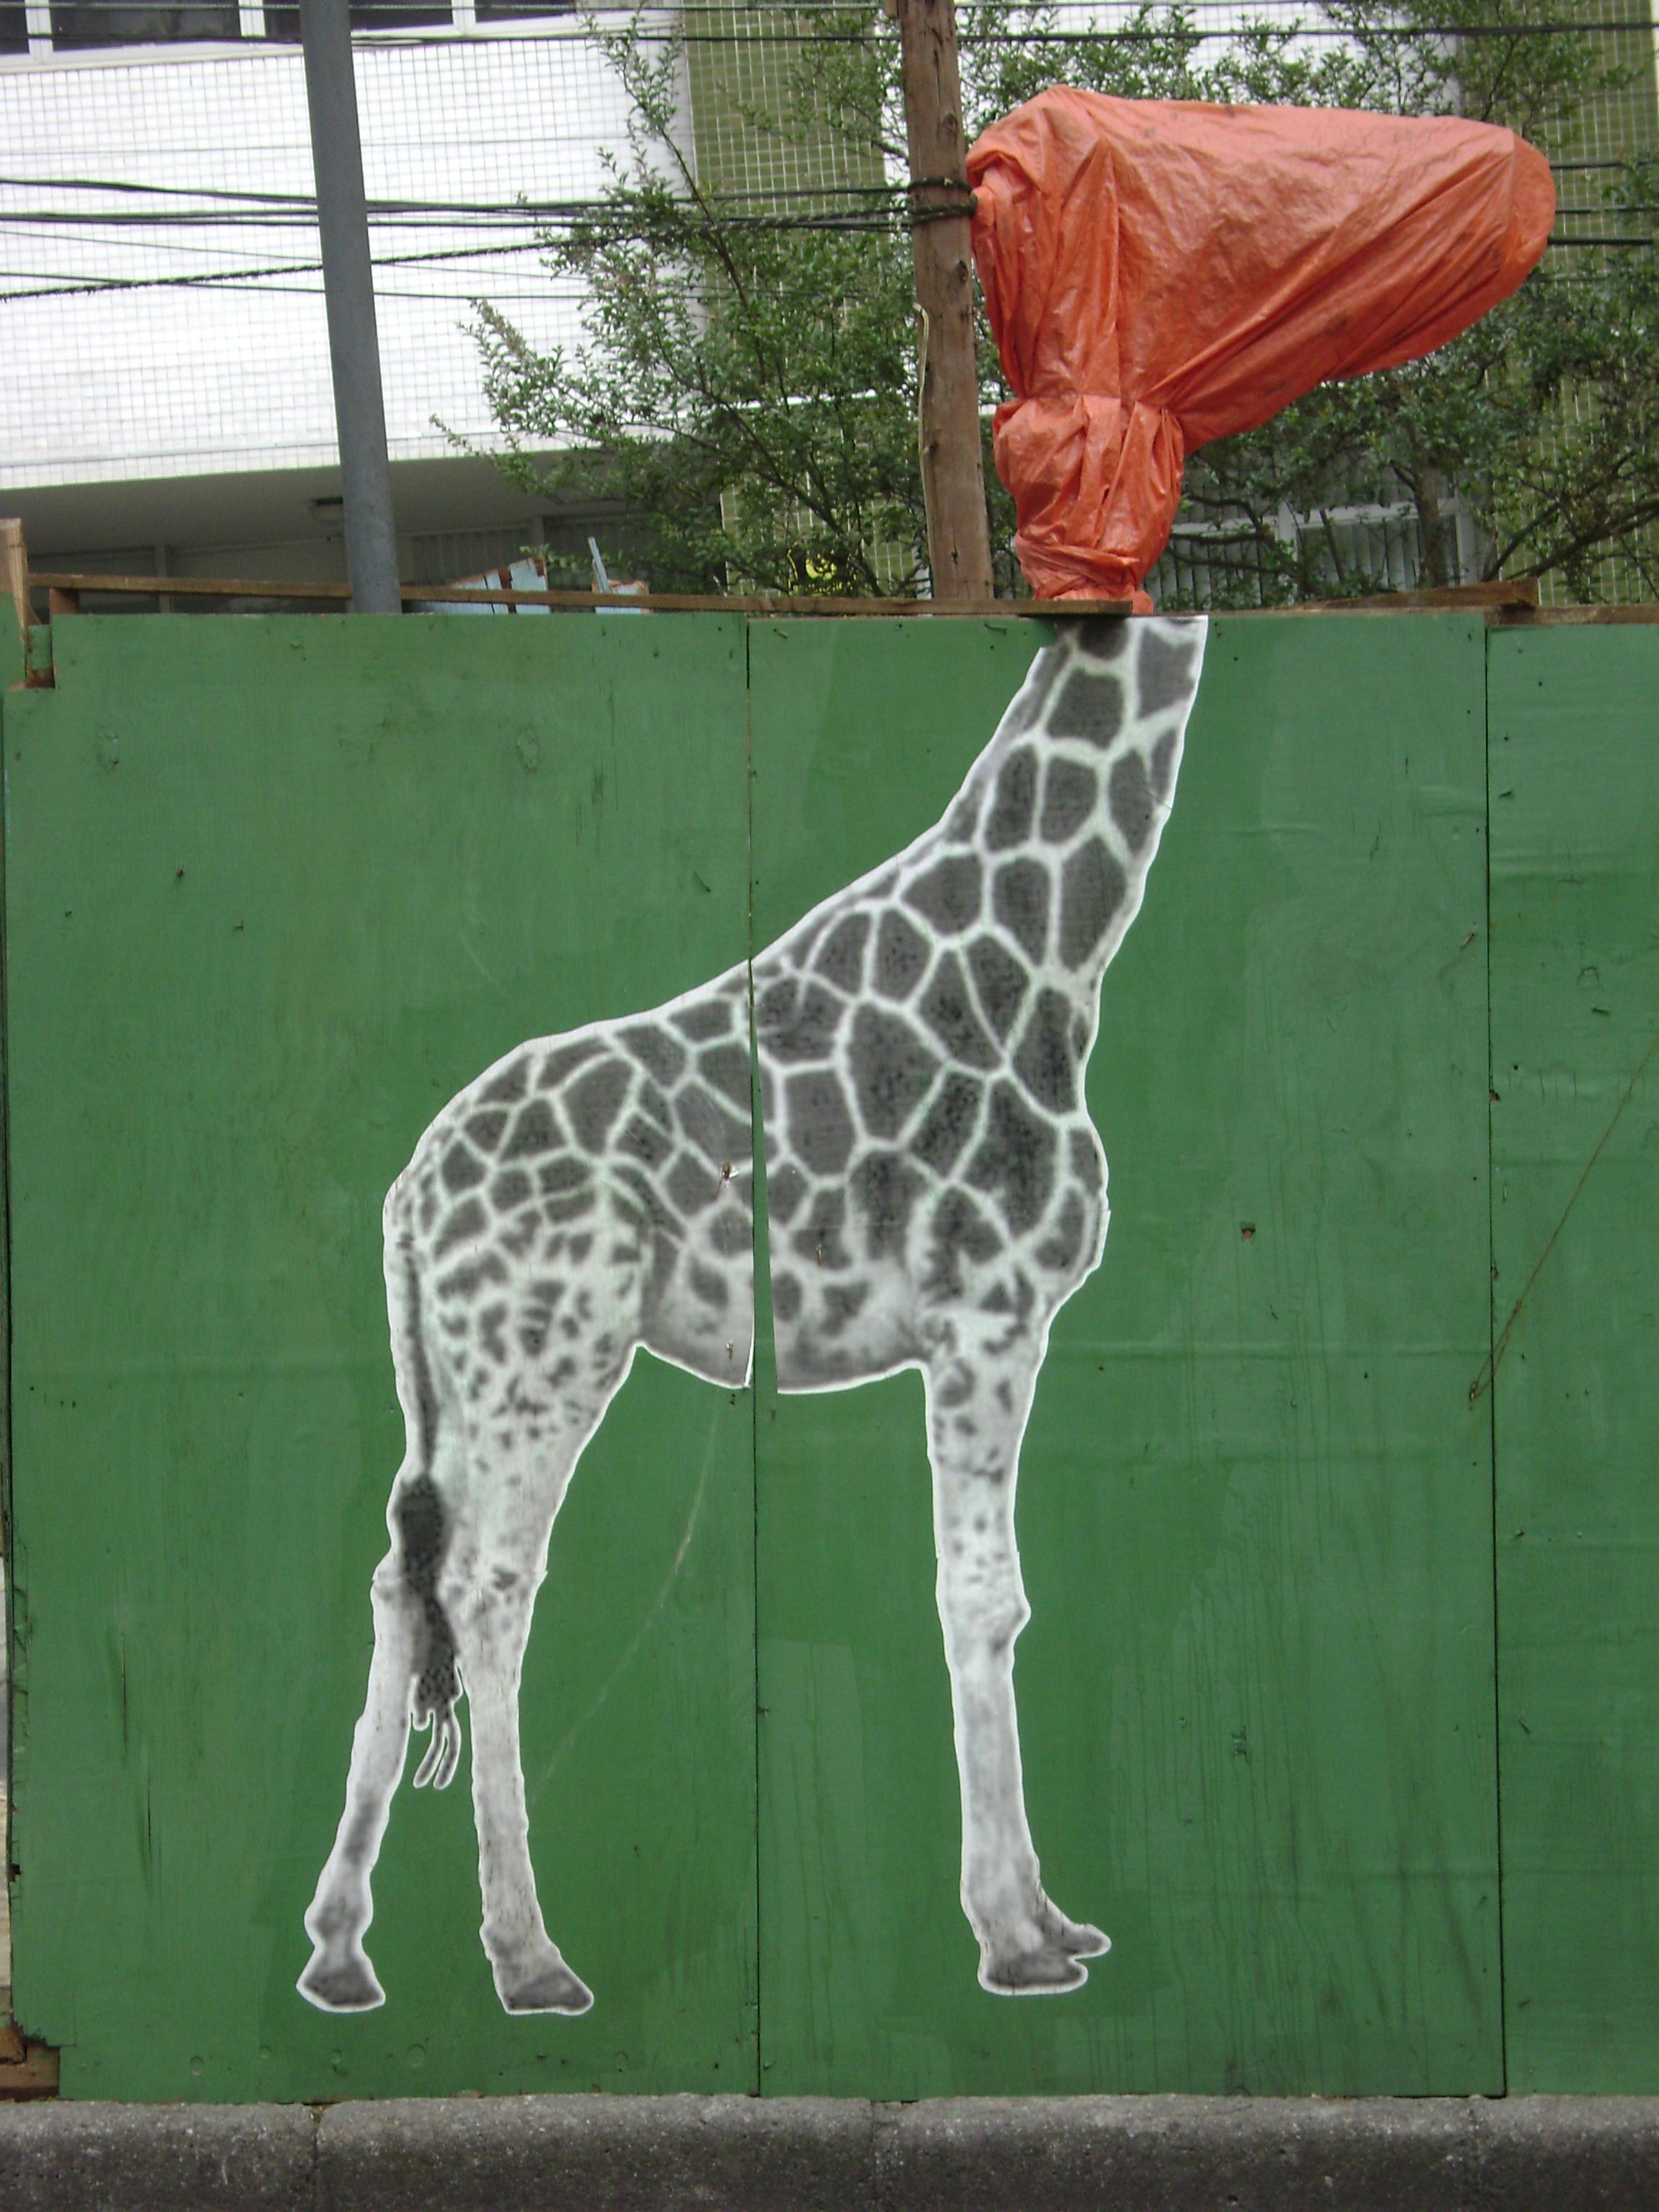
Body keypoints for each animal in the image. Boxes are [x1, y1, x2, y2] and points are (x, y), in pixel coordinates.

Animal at [299, 610, 1208, 2018]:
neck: (1049, 946)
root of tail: (409, 1190)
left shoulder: (993, 1323)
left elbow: (989, 1595)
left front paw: (1050, 1916)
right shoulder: (986, 1307)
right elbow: (983, 1596)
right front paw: (1016, 1937)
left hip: (447, 1376)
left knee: (404, 1577)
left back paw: (341, 1950)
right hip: (545, 1359)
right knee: (489, 1586)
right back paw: (528, 1955)